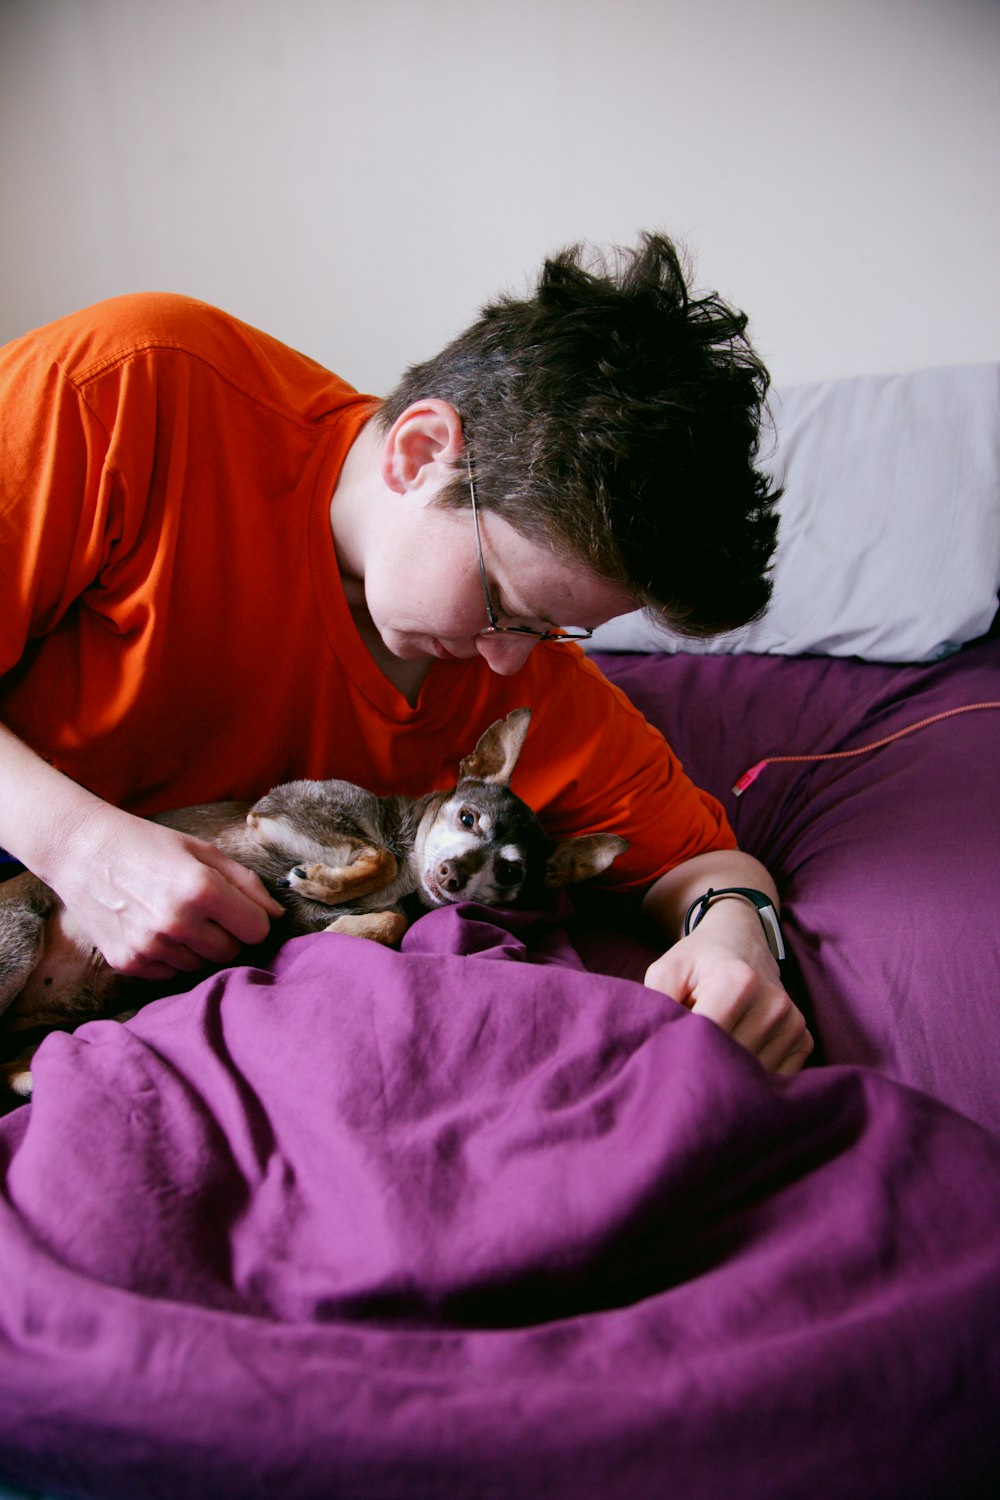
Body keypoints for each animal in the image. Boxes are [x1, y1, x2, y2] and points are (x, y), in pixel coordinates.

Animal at [0, 708, 626, 1098]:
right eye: (468, 818)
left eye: (510, 871)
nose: (451, 875)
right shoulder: (282, 811)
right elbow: (380, 857)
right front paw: (328, 884)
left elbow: (391, 918)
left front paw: (339, 931)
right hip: (19, 933)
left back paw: (32, 1069)